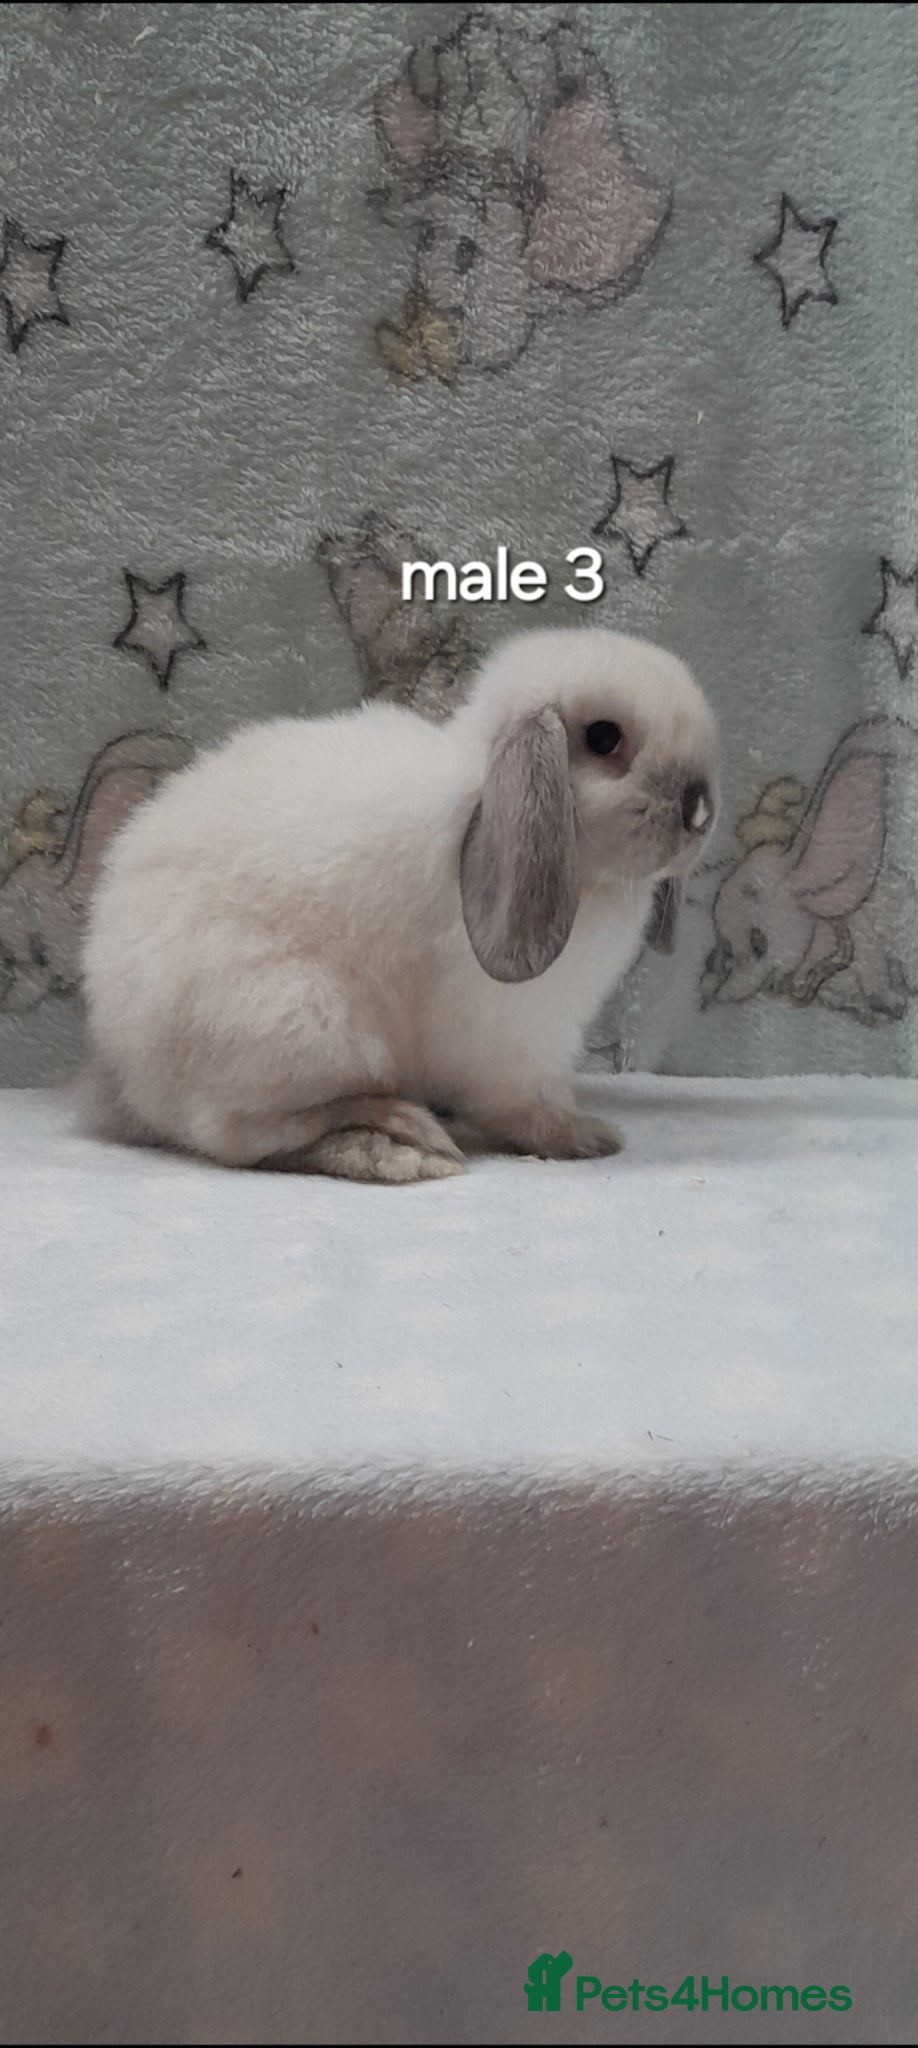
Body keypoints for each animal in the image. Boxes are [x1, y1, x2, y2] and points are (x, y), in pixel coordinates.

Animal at [81, 628, 717, 1184]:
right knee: (244, 1135)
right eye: (605, 738)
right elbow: (526, 1106)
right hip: (306, 1026)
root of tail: (122, 1065)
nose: (699, 812)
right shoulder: (518, 1041)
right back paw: (404, 1141)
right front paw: (585, 1137)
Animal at [702, 717, 918, 1026]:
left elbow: (875, 975)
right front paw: (868, 1012)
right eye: (727, 950)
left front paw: (890, 1005)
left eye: (758, 943)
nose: (714, 995)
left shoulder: (865, 942)